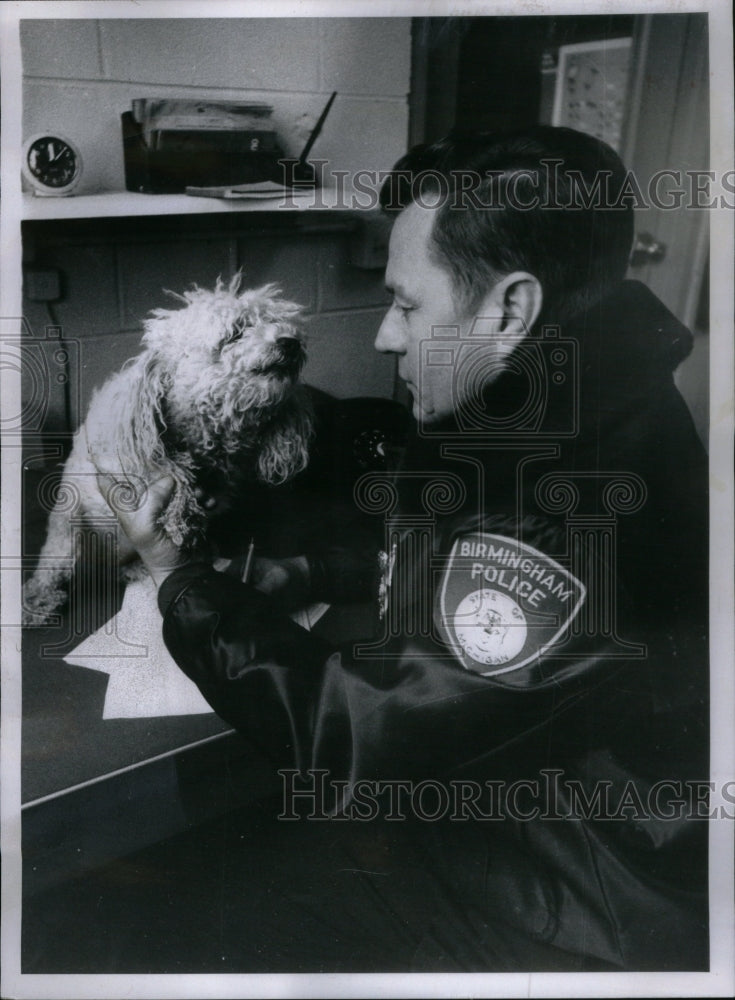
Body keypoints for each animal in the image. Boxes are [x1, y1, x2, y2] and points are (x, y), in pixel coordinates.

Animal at [24, 278, 312, 624]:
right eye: (235, 333)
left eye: (277, 322)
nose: (290, 342)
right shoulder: (128, 463)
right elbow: (170, 473)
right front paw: (180, 513)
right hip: (69, 523)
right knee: (53, 564)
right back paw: (38, 601)